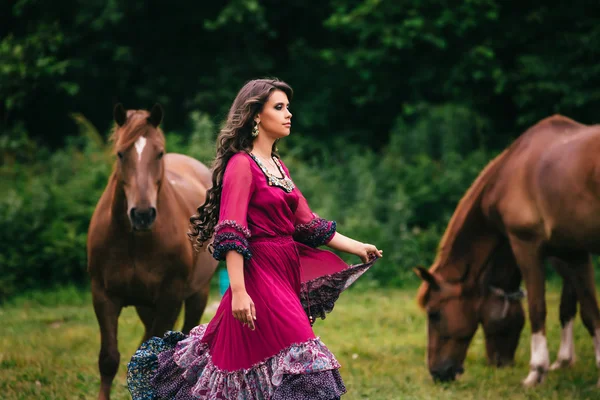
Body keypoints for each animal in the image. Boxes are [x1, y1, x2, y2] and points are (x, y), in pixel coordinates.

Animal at [86, 104, 218, 398]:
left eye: (158, 153)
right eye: (120, 153)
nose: (143, 214)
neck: (134, 240)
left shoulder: (170, 297)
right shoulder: (103, 296)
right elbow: (108, 359)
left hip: (197, 294)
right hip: (145, 305)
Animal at [414, 115, 600, 388]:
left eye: (435, 314)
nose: (437, 373)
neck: (511, 173)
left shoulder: (527, 245)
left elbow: (538, 308)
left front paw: (537, 371)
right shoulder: (573, 252)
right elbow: (588, 310)